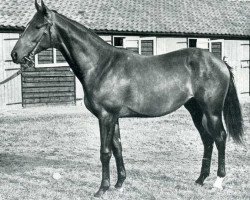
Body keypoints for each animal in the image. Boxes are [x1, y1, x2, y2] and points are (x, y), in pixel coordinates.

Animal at [10, 0, 243, 197]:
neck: (101, 65)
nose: (14, 55)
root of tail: (219, 61)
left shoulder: (105, 116)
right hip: (195, 109)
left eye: (37, 26)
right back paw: (200, 179)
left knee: (220, 137)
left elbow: (105, 152)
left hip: (212, 111)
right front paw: (119, 183)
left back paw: (218, 181)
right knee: (207, 139)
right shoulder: (114, 117)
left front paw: (102, 189)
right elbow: (118, 148)